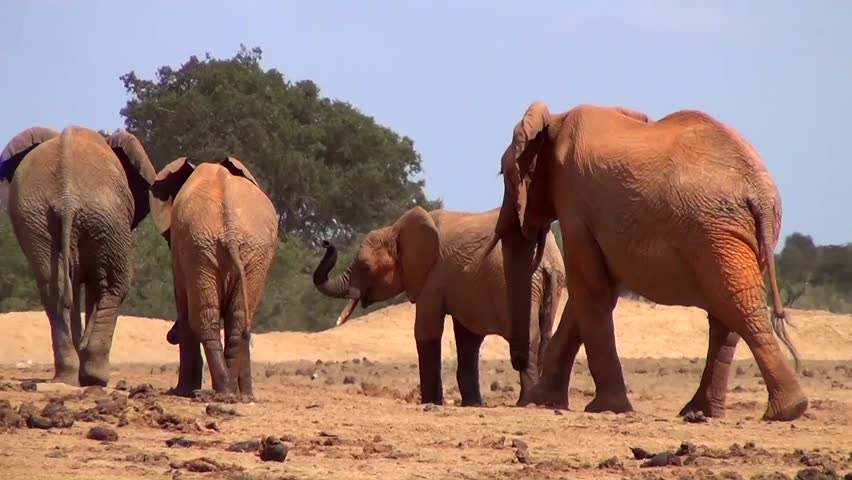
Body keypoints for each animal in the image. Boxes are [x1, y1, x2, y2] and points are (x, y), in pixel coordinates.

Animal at [0, 126, 156, 386]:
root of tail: (67, 197)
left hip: (37, 217)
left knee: (53, 286)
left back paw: (67, 378)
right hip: (106, 217)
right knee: (114, 284)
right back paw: (96, 378)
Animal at [150, 156, 278, 400]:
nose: (170, 336)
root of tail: (230, 230)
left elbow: (183, 305)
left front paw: (181, 392)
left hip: (203, 248)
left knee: (204, 318)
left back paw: (220, 392)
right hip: (240, 250)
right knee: (238, 319)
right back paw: (232, 394)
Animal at [312, 206, 566, 406]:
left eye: (365, 267)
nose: (325, 241)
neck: (396, 229)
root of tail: (549, 261)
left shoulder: (433, 277)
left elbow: (427, 331)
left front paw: (431, 402)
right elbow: (468, 338)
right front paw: (473, 405)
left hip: (524, 284)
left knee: (528, 338)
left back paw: (526, 403)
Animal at [471, 102, 807, 422]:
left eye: (503, 174)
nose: (519, 362)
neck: (556, 118)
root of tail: (760, 192)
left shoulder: (575, 200)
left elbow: (590, 289)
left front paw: (605, 408)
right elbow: (597, 293)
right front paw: (543, 402)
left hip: (715, 231)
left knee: (735, 305)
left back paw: (785, 410)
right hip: (737, 233)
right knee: (728, 312)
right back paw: (707, 412)